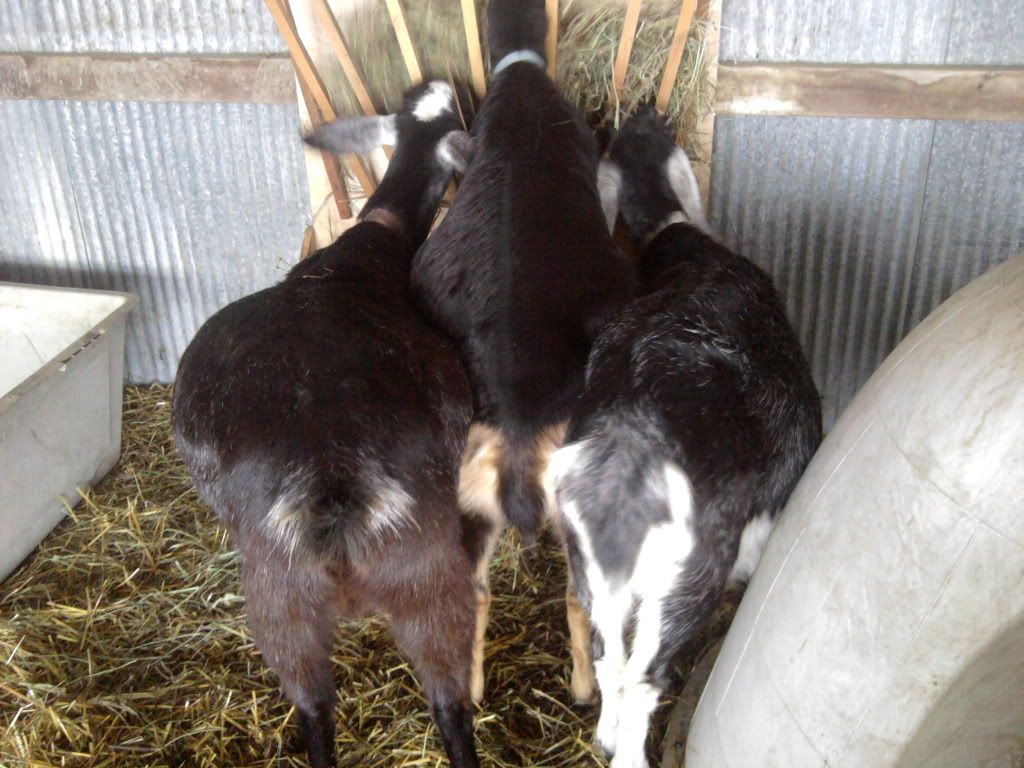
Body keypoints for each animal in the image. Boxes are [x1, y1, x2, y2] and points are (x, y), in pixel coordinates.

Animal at [171, 81, 483, 768]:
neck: (363, 253)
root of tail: (333, 479)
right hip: (413, 576)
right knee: (436, 701)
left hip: (292, 596)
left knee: (323, 706)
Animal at [549, 107, 822, 768]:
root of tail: (628, 452)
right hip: (686, 579)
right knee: (644, 675)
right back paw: (629, 753)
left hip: (591, 567)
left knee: (608, 655)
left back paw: (603, 734)